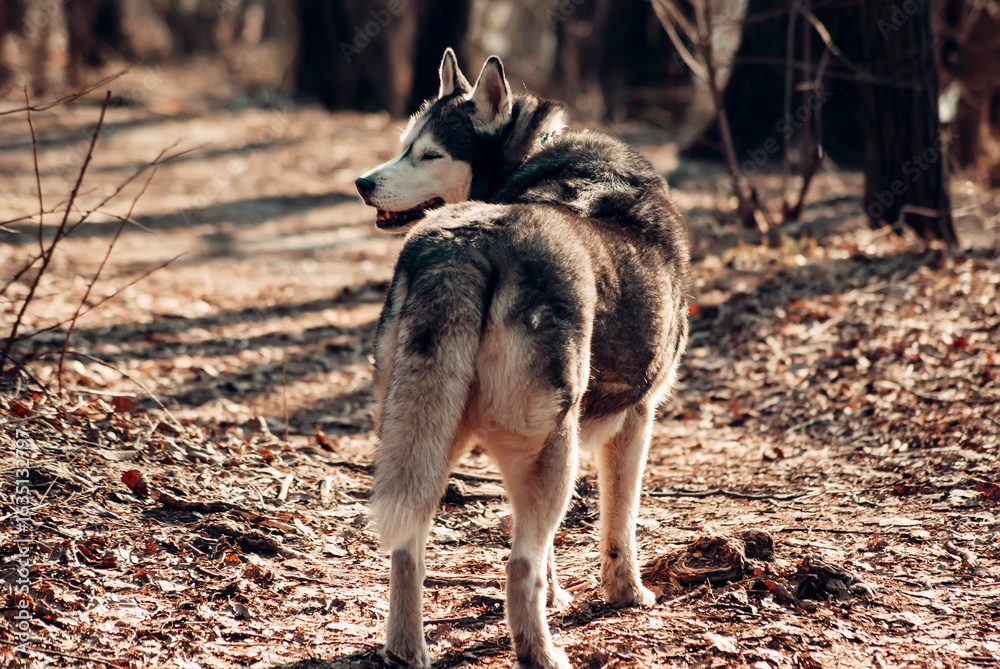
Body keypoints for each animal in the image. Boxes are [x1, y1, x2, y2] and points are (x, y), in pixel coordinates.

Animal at [355, 48, 691, 668]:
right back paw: (543, 653)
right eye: (406, 145)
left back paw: (408, 650)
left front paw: (561, 595)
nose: (363, 183)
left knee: (407, 551)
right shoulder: (635, 420)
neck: (535, 160)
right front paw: (626, 593)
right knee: (518, 566)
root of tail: (465, 244)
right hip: (552, 450)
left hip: (425, 443)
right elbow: (619, 526)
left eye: (427, 152)